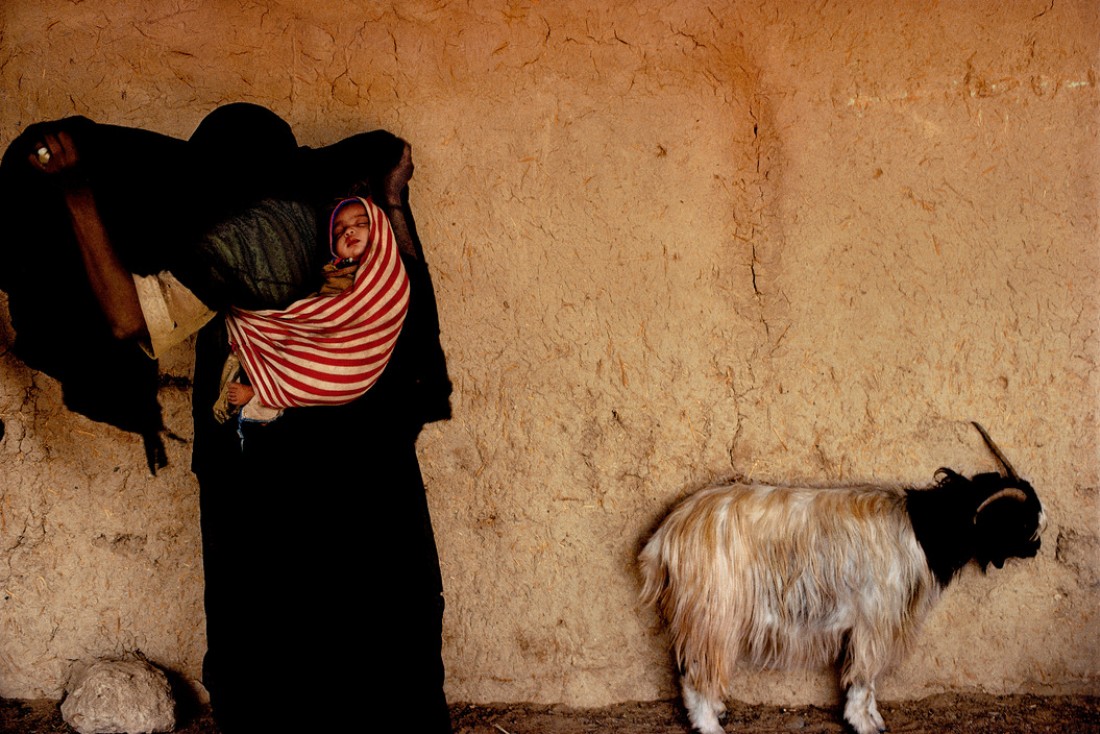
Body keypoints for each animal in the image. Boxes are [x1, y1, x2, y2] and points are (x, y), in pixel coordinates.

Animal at [638, 424, 1038, 734]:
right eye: (1023, 523)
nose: (1037, 549)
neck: (926, 529)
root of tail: (667, 535)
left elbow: (869, 679)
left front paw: (875, 719)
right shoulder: (874, 619)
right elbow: (863, 676)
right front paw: (864, 723)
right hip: (713, 610)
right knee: (695, 671)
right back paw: (709, 723)